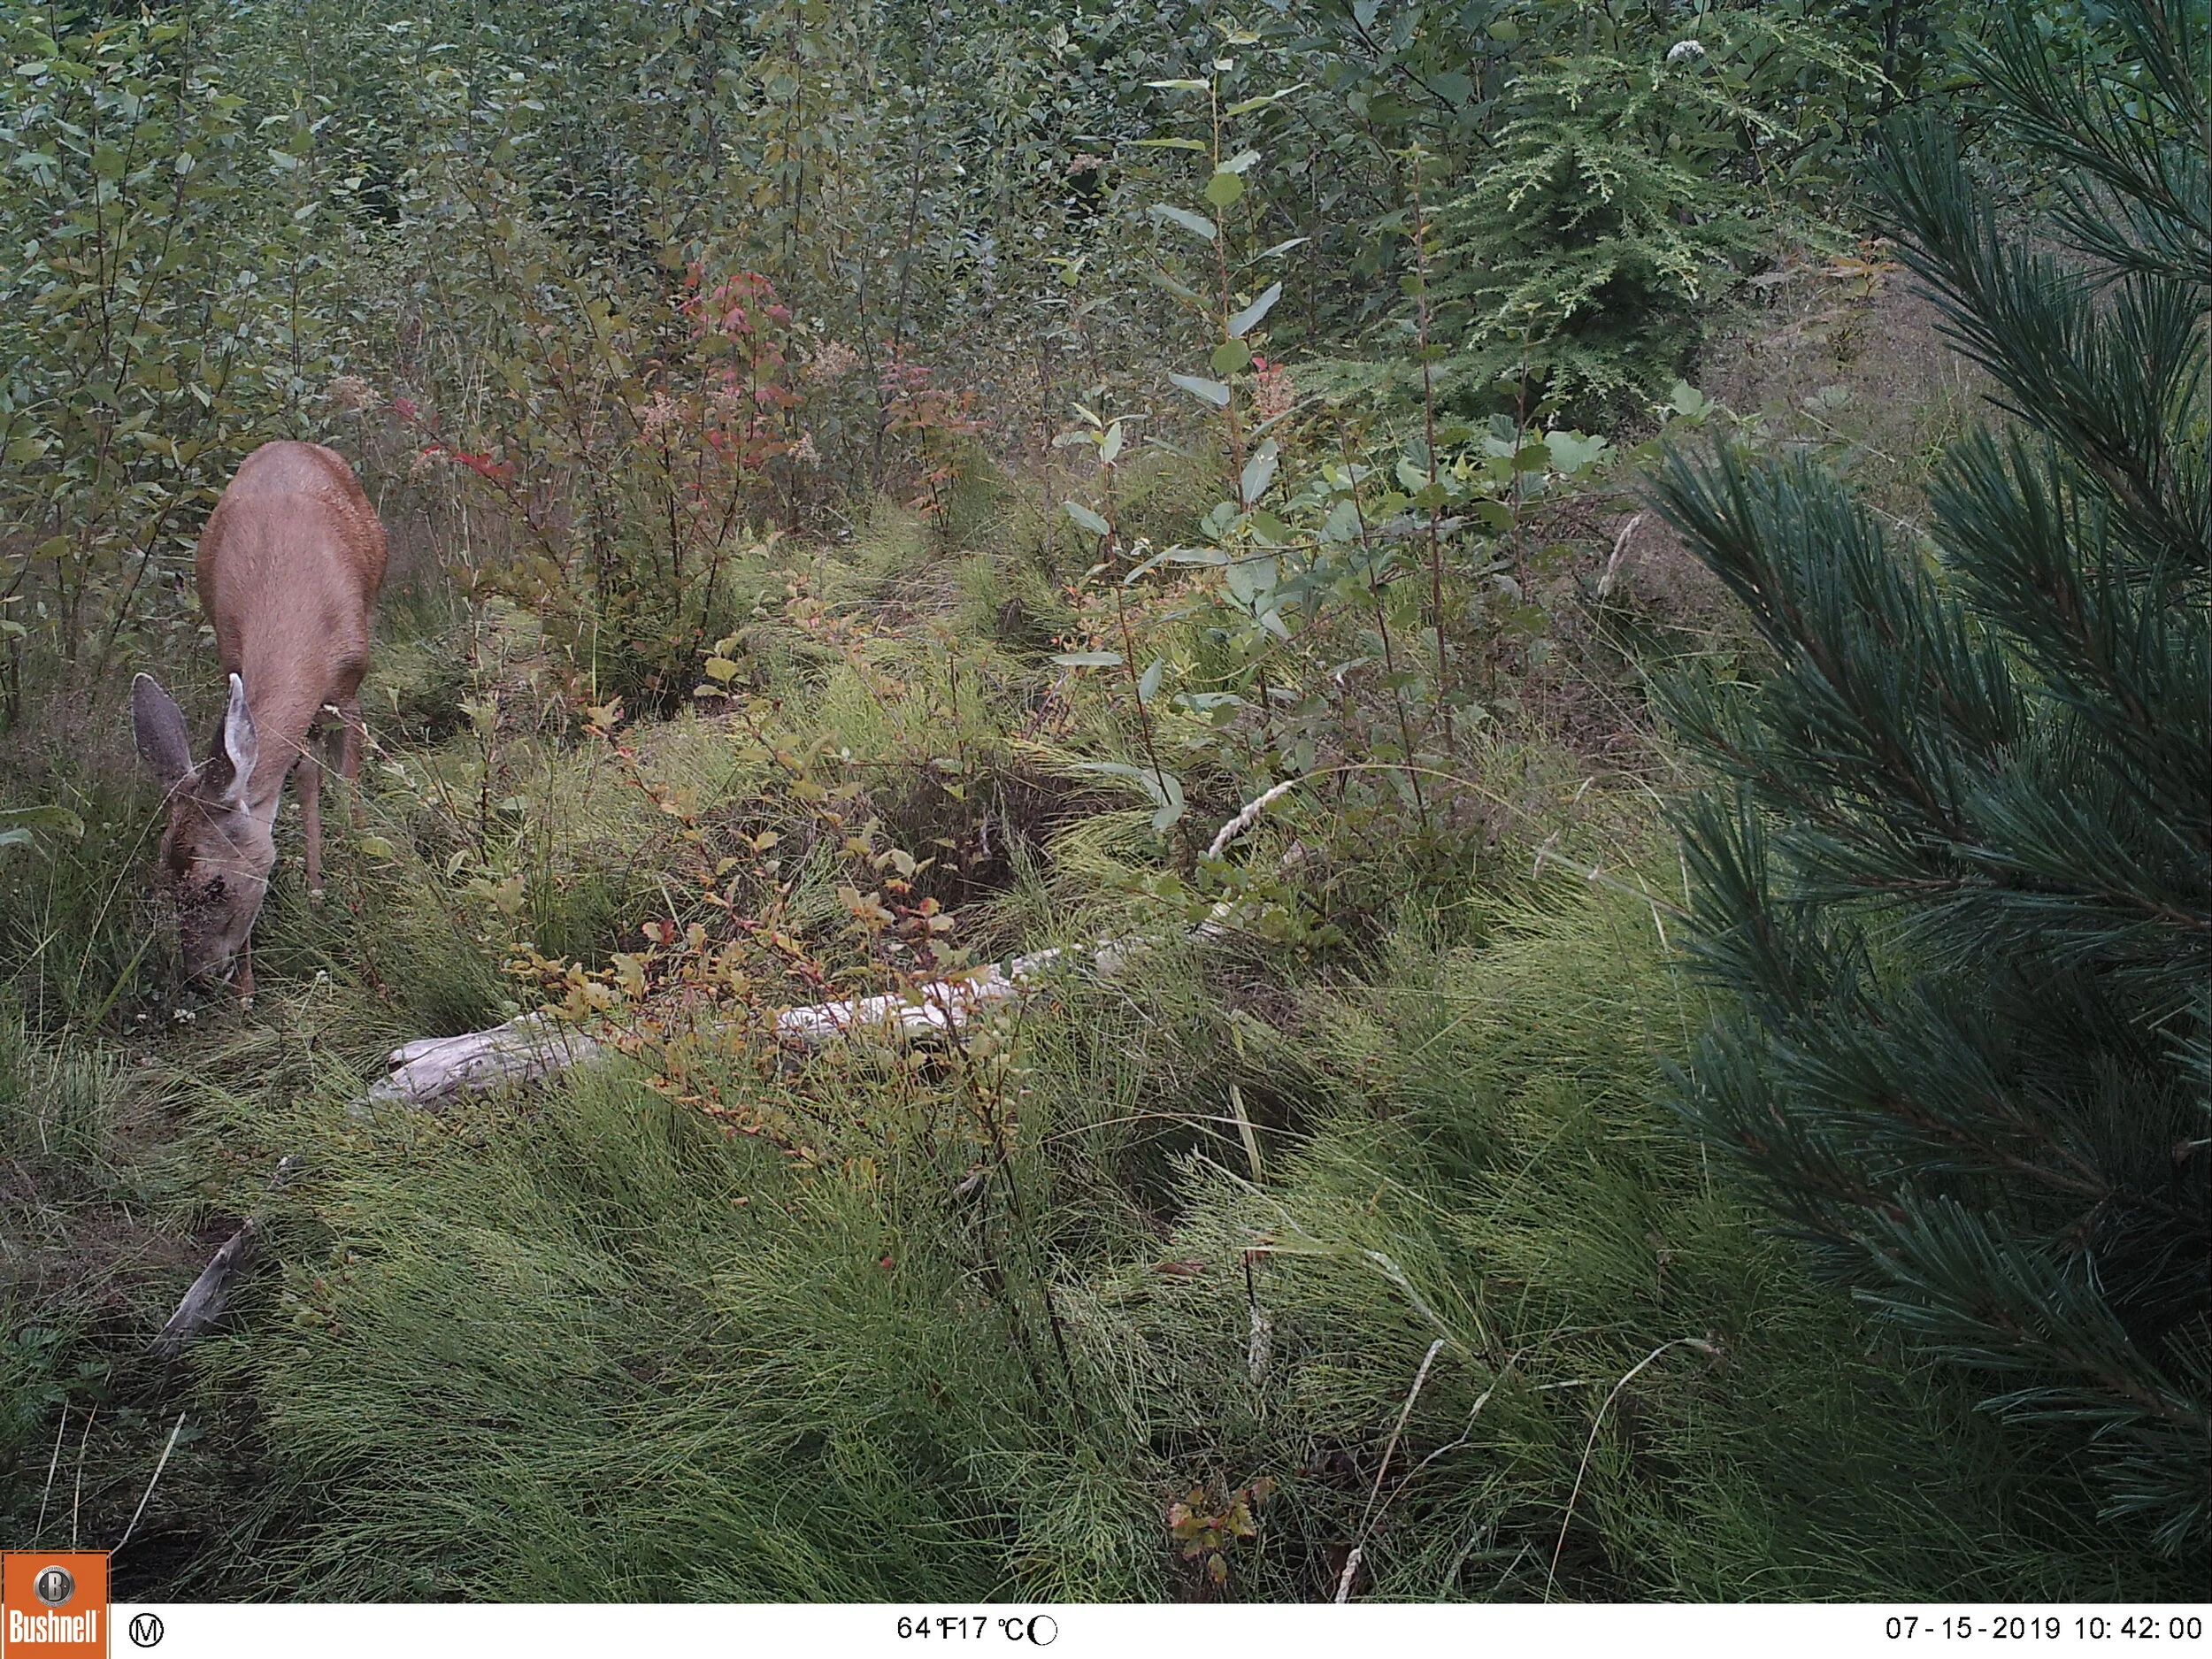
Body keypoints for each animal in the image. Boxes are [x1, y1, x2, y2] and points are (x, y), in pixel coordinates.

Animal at [132, 441, 388, 998]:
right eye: (164, 879)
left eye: (214, 885)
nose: (202, 976)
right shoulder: (232, 661)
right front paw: (248, 986)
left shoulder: (349, 683)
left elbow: (346, 788)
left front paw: (356, 889)